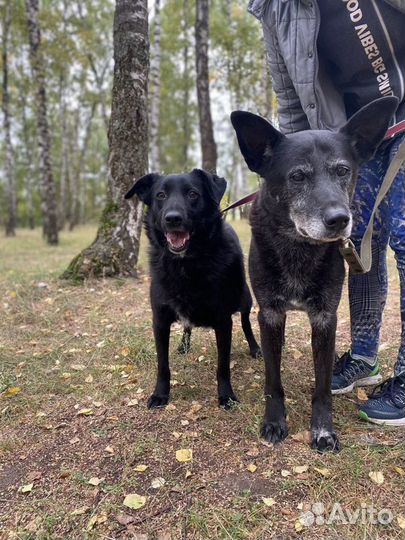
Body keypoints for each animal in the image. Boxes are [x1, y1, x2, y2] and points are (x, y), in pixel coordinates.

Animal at [124, 169, 260, 410]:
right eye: (160, 195)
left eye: (193, 194)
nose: (173, 218)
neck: (185, 264)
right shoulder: (159, 321)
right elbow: (163, 365)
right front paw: (160, 394)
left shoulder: (223, 321)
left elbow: (223, 365)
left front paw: (226, 396)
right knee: (187, 326)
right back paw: (183, 345)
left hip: (244, 297)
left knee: (246, 322)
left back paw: (254, 347)